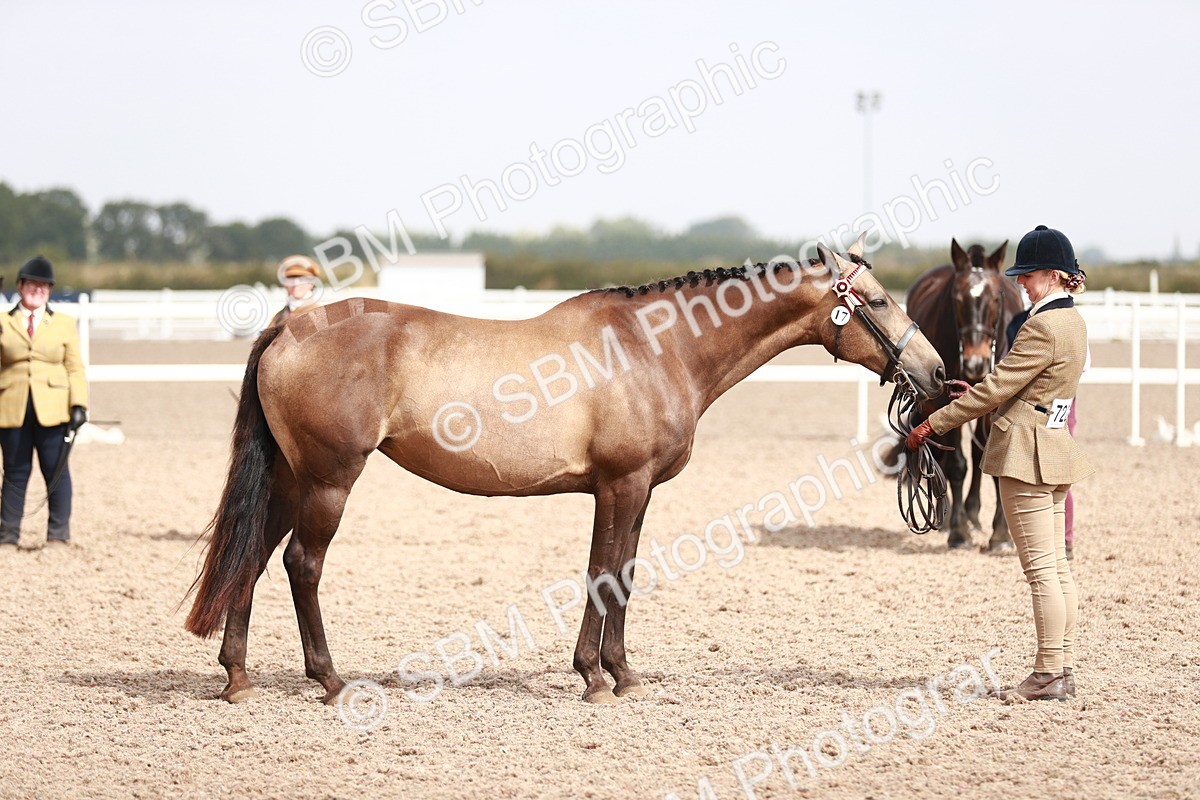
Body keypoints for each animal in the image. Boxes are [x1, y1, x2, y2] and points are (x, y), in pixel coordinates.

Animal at [184, 236, 946, 705]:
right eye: (879, 301)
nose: (937, 372)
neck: (656, 346)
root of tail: (292, 326)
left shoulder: (638, 492)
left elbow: (625, 574)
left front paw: (623, 673)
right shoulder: (619, 483)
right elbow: (602, 574)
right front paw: (593, 678)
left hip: (290, 480)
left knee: (252, 557)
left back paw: (238, 677)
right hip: (329, 480)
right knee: (302, 565)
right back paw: (331, 680)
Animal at [903, 239, 1024, 551]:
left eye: (996, 298)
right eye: (957, 300)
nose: (975, 363)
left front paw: (1001, 535)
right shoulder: (943, 401)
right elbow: (956, 465)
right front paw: (958, 532)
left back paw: (973, 514)